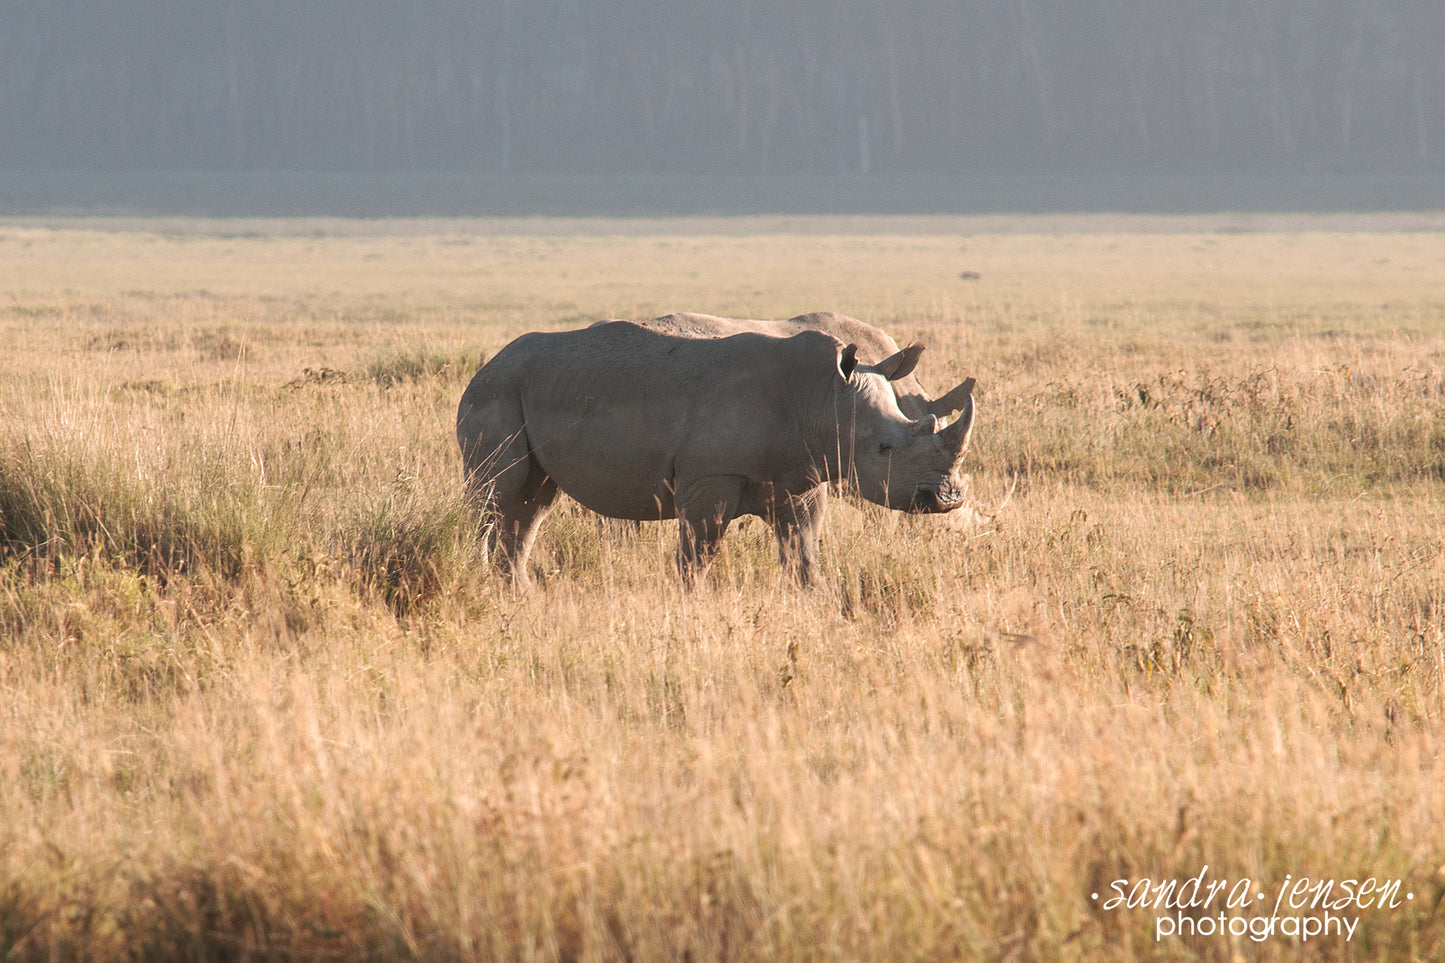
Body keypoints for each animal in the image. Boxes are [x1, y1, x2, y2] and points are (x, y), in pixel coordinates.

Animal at [456, 321, 976, 584]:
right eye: (884, 448)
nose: (947, 499)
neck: (821, 396)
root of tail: (486, 364)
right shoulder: (709, 479)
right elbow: (697, 555)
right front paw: (691, 604)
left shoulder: (802, 480)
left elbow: (804, 554)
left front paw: (814, 601)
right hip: (496, 392)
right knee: (496, 495)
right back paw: (477, 579)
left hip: (529, 388)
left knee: (532, 503)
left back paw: (517, 594)